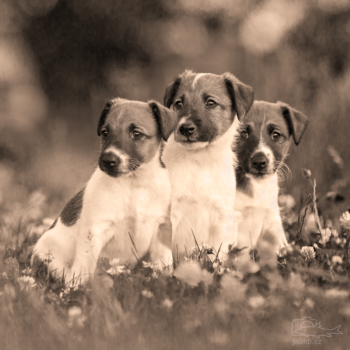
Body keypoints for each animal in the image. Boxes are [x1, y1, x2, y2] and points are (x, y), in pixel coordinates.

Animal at [31, 98, 176, 284]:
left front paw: (164, 283)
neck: (133, 183)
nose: (108, 160)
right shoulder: (95, 230)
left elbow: (163, 261)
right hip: (50, 259)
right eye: (105, 133)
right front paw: (79, 288)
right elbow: (85, 264)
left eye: (136, 134)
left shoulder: (162, 226)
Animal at [161, 69, 254, 260]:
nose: (185, 128)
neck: (200, 160)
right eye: (179, 103)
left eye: (210, 102)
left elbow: (216, 257)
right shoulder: (170, 214)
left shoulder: (221, 217)